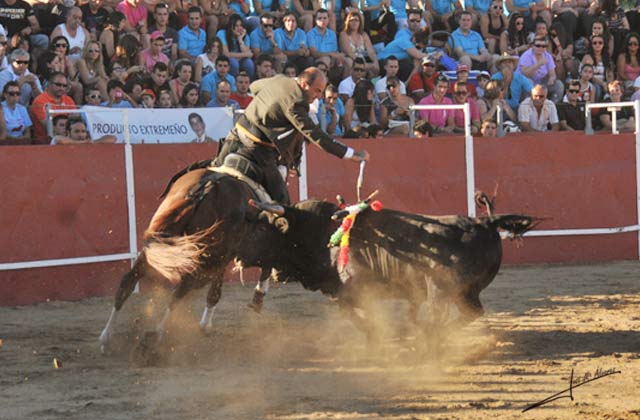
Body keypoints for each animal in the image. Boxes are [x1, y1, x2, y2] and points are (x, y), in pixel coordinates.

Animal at [100, 167, 540, 348]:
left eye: (258, 226)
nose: (236, 250)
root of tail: (484, 223)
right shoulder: (351, 291)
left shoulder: (357, 289)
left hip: (453, 291)